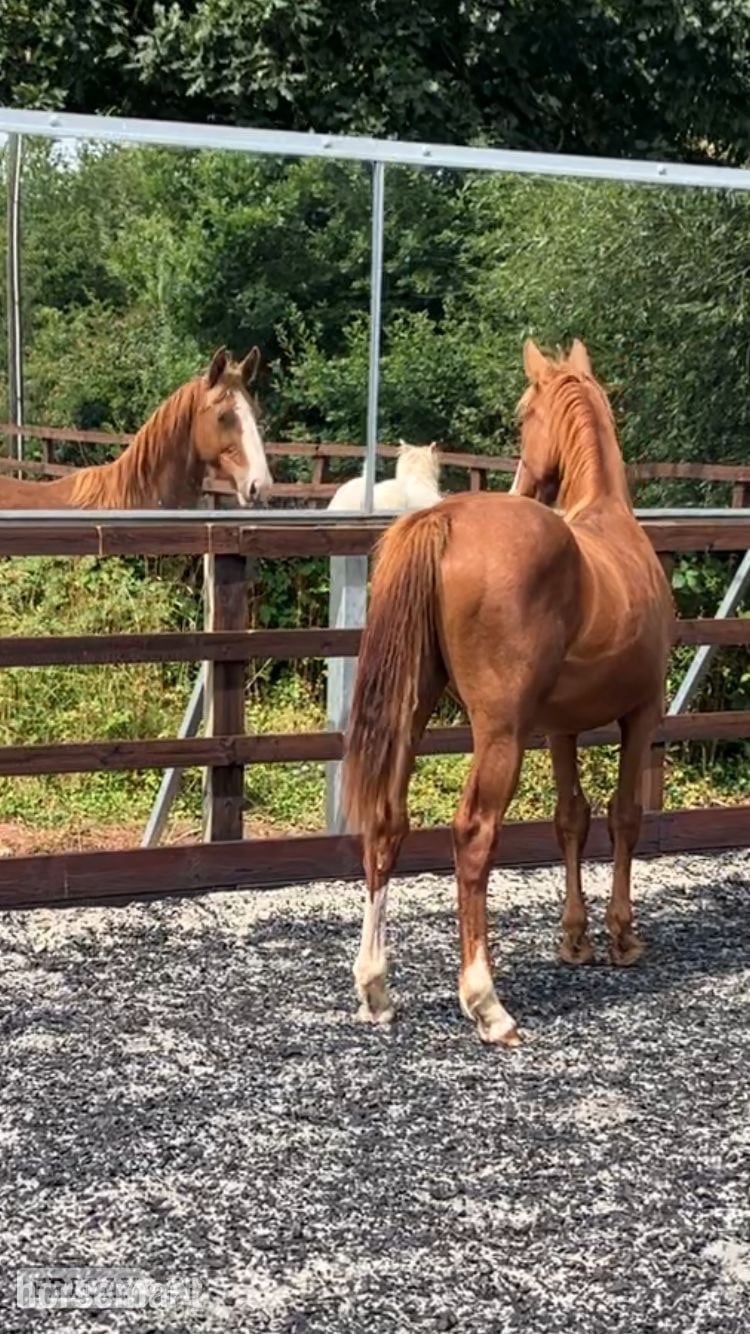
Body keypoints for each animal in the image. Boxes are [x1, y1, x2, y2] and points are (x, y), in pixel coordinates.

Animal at [342, 338, 674, 1047]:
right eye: (526, 413)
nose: (526, 482)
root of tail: (442, 519)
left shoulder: (561, 727)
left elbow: (571, 818)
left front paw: (574, 939)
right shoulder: (641, 714)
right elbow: (624, 815)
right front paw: (621, 937)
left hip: (412, 714)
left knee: (386, 822)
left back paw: (376, 989)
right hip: (499, 734)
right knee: (473, 835)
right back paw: (486, 1002)